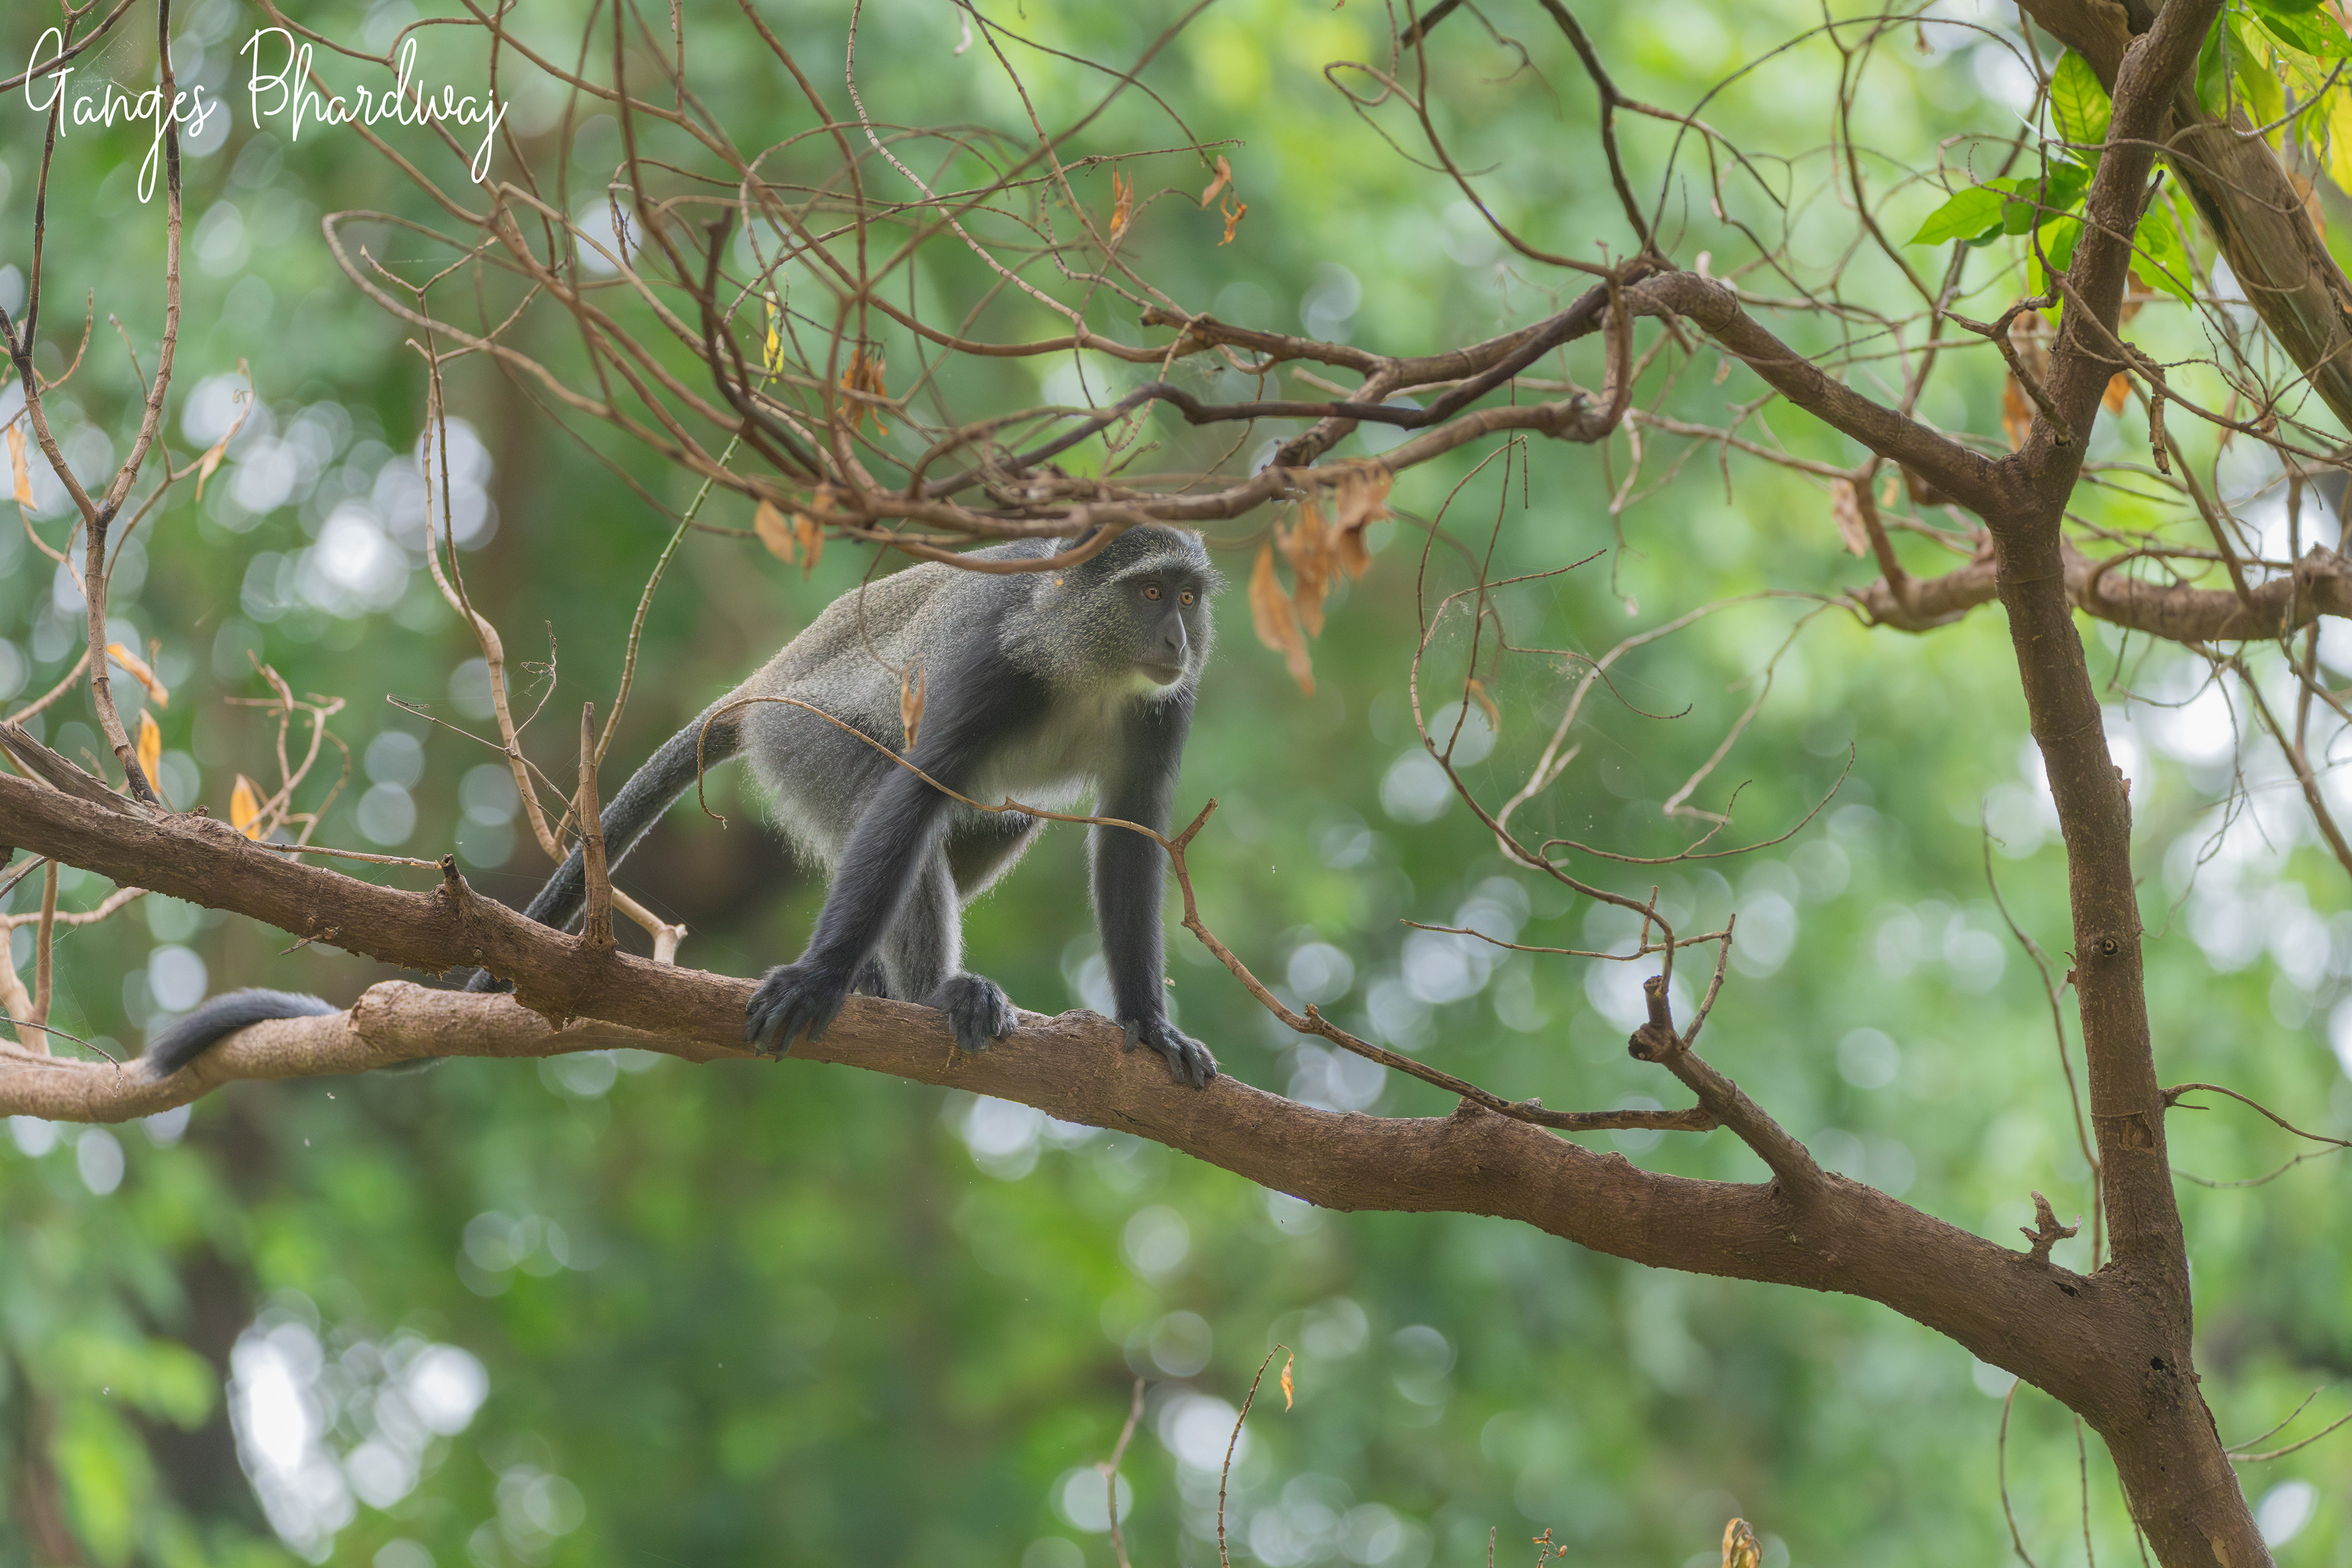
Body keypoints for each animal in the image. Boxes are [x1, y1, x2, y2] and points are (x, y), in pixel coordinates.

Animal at [145, 523, 1222, 1088]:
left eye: (1186, 597)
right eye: (1149, 593)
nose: (1178, 639)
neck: (1093, 666)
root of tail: (761, 685)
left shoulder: (1167, 711)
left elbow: (1133, 840)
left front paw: (1149, 1027)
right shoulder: (998, 665)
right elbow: (912, 799)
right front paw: (818, 979)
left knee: (997, 820)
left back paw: (890, 986)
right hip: (806, 742)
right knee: (892, 807)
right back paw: (922, 996)